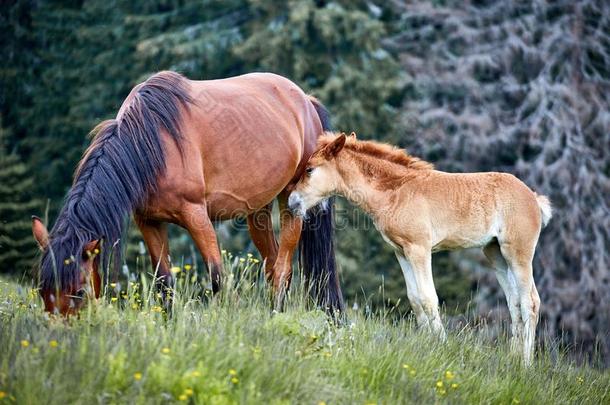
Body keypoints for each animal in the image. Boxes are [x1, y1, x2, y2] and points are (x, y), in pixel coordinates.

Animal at [288, 133, 548, 362]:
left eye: (310, 169)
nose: (292, 202)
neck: (397, 191)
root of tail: (534, 197)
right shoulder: (401, 251)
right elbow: (414, 299)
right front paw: (428, 345)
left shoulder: (419, 249)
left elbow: (428, 297)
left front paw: (442, 348)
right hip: (495, 253)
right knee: (514, 302)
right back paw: (513, 359)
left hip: (518, 252)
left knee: (530, 301)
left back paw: (525, 365)